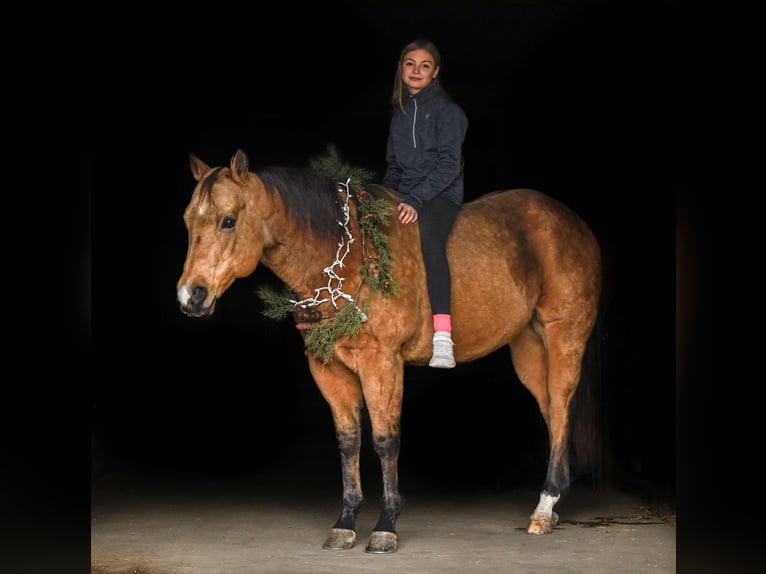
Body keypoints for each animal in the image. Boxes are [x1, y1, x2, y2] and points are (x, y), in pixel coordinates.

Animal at [176, 148, 602, 553]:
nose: (190, 297)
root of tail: (575, 224)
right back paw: (553, 503)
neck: (347, 257)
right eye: (187, 221)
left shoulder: (382, 364)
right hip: (527, 348)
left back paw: (545, 505)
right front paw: (345, 522)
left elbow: (385, 440)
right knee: (552, 410)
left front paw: (386, 526)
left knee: (561, 405)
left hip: (563, 336)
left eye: (228, 221)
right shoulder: (328, 369)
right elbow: (348, 440)